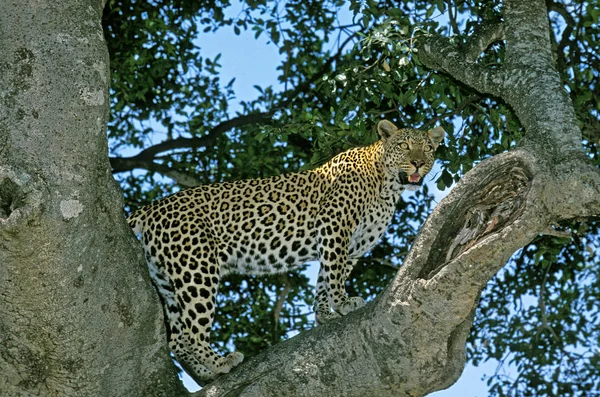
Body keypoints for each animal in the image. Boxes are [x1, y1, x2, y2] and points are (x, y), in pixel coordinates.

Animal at [126, 120, 446, 380]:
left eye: (428, 148)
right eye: (404, 146)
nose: (418, 163)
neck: (387, 185)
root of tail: (155, 206)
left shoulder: (352, 246)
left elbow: (325, 277)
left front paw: (324, 314)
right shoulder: (334, 225)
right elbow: (334, 273)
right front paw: (343, 303)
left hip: (167, 279)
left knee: (178, 339)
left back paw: (207, 373)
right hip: (196, 269)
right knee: (192, 333)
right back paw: (221, 363)